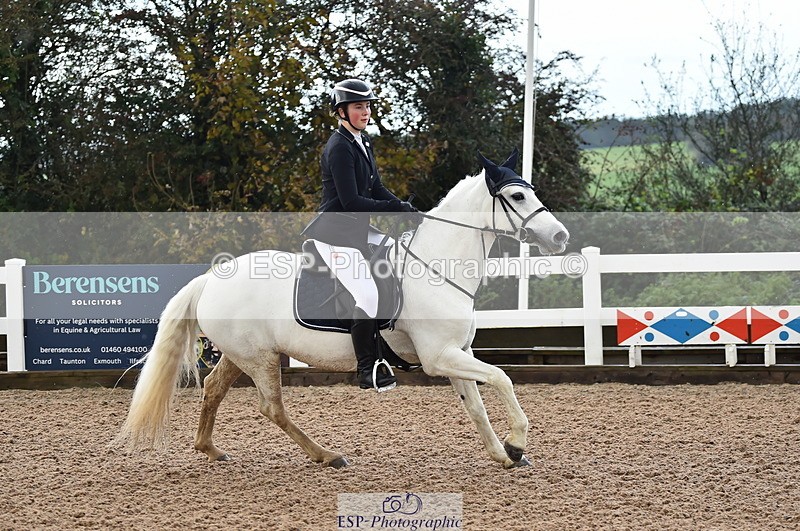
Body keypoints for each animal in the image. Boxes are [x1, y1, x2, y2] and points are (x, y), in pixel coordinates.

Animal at [118, 149, 570, 469]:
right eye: (517, 195)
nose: (560, 236)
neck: (436, 267)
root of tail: (211, 278)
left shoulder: (458, 353)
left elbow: (476, 404)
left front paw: (502, 455)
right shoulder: (439, 356)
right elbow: (503, 379)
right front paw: (516, 444)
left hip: (242, 352)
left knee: (214, 388)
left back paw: (210, 449)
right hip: (260, 358)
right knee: (272, 408)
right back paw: (327, 455)